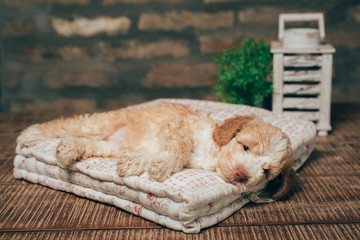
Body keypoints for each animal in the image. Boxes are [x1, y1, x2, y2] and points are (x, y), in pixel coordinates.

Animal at [16, 103, 296, 199]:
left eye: (266, 171)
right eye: (244, 146)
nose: (241, 175)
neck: (214, 151)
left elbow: (161, 153)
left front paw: (137, 162)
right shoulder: (181, 128)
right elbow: (177, 150)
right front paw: (160, 167)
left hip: (108, 146)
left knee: (86, 143)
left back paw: (69, 149)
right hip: (99, 124)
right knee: (64, 125)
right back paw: (30, 134)